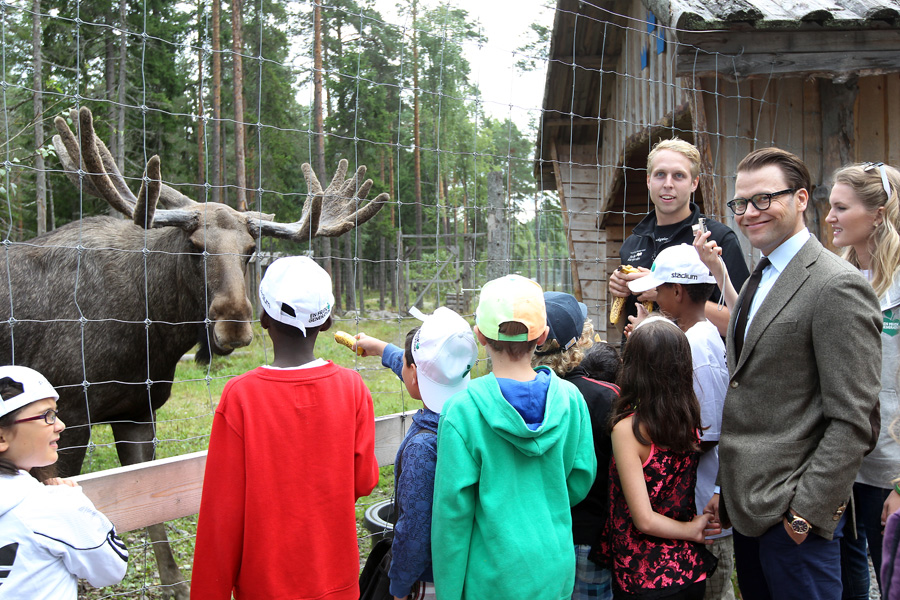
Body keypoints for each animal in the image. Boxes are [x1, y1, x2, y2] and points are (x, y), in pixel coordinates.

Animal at [0, 106, 386, 596]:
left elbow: (152, 512)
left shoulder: (138, 411)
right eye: (195, 248)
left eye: (251, 249)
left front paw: (174, 584)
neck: (149, 333)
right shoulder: (67, 412)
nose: (233, 321)